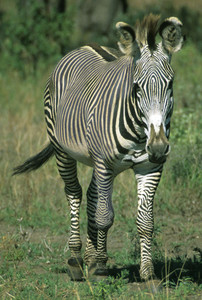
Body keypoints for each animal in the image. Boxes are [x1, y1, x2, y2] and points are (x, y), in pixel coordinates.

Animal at [13, 14, 185, 282]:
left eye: (170, 84)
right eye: (136, 87)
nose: (158, 147)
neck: (140, 132)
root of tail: (86, 45)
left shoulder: (150, 167)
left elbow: (145, 221)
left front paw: (148, 274)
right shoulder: (104, 162)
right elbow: (105, 216)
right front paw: (101, 269)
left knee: (93, 195)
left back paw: (92, 257)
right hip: (63, 150)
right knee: (74, 193)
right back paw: (76, 260)